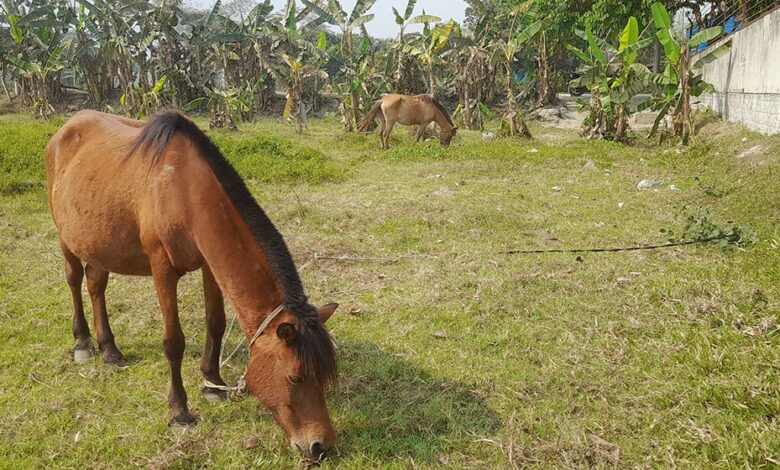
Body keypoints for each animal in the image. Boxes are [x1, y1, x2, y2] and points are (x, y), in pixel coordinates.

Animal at [45, 110, 338, 459]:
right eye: (294, 378)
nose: (320, 445)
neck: (185, 192)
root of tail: (66, 127)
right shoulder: (161, 268)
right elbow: (174, 342)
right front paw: (180, 411)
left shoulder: (210, 266)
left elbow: (216, 323)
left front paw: (213, 383)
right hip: (66, 238)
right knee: (75, 280)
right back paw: (83, 343)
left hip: (100, 242)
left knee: (95, 285)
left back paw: (110, 350)